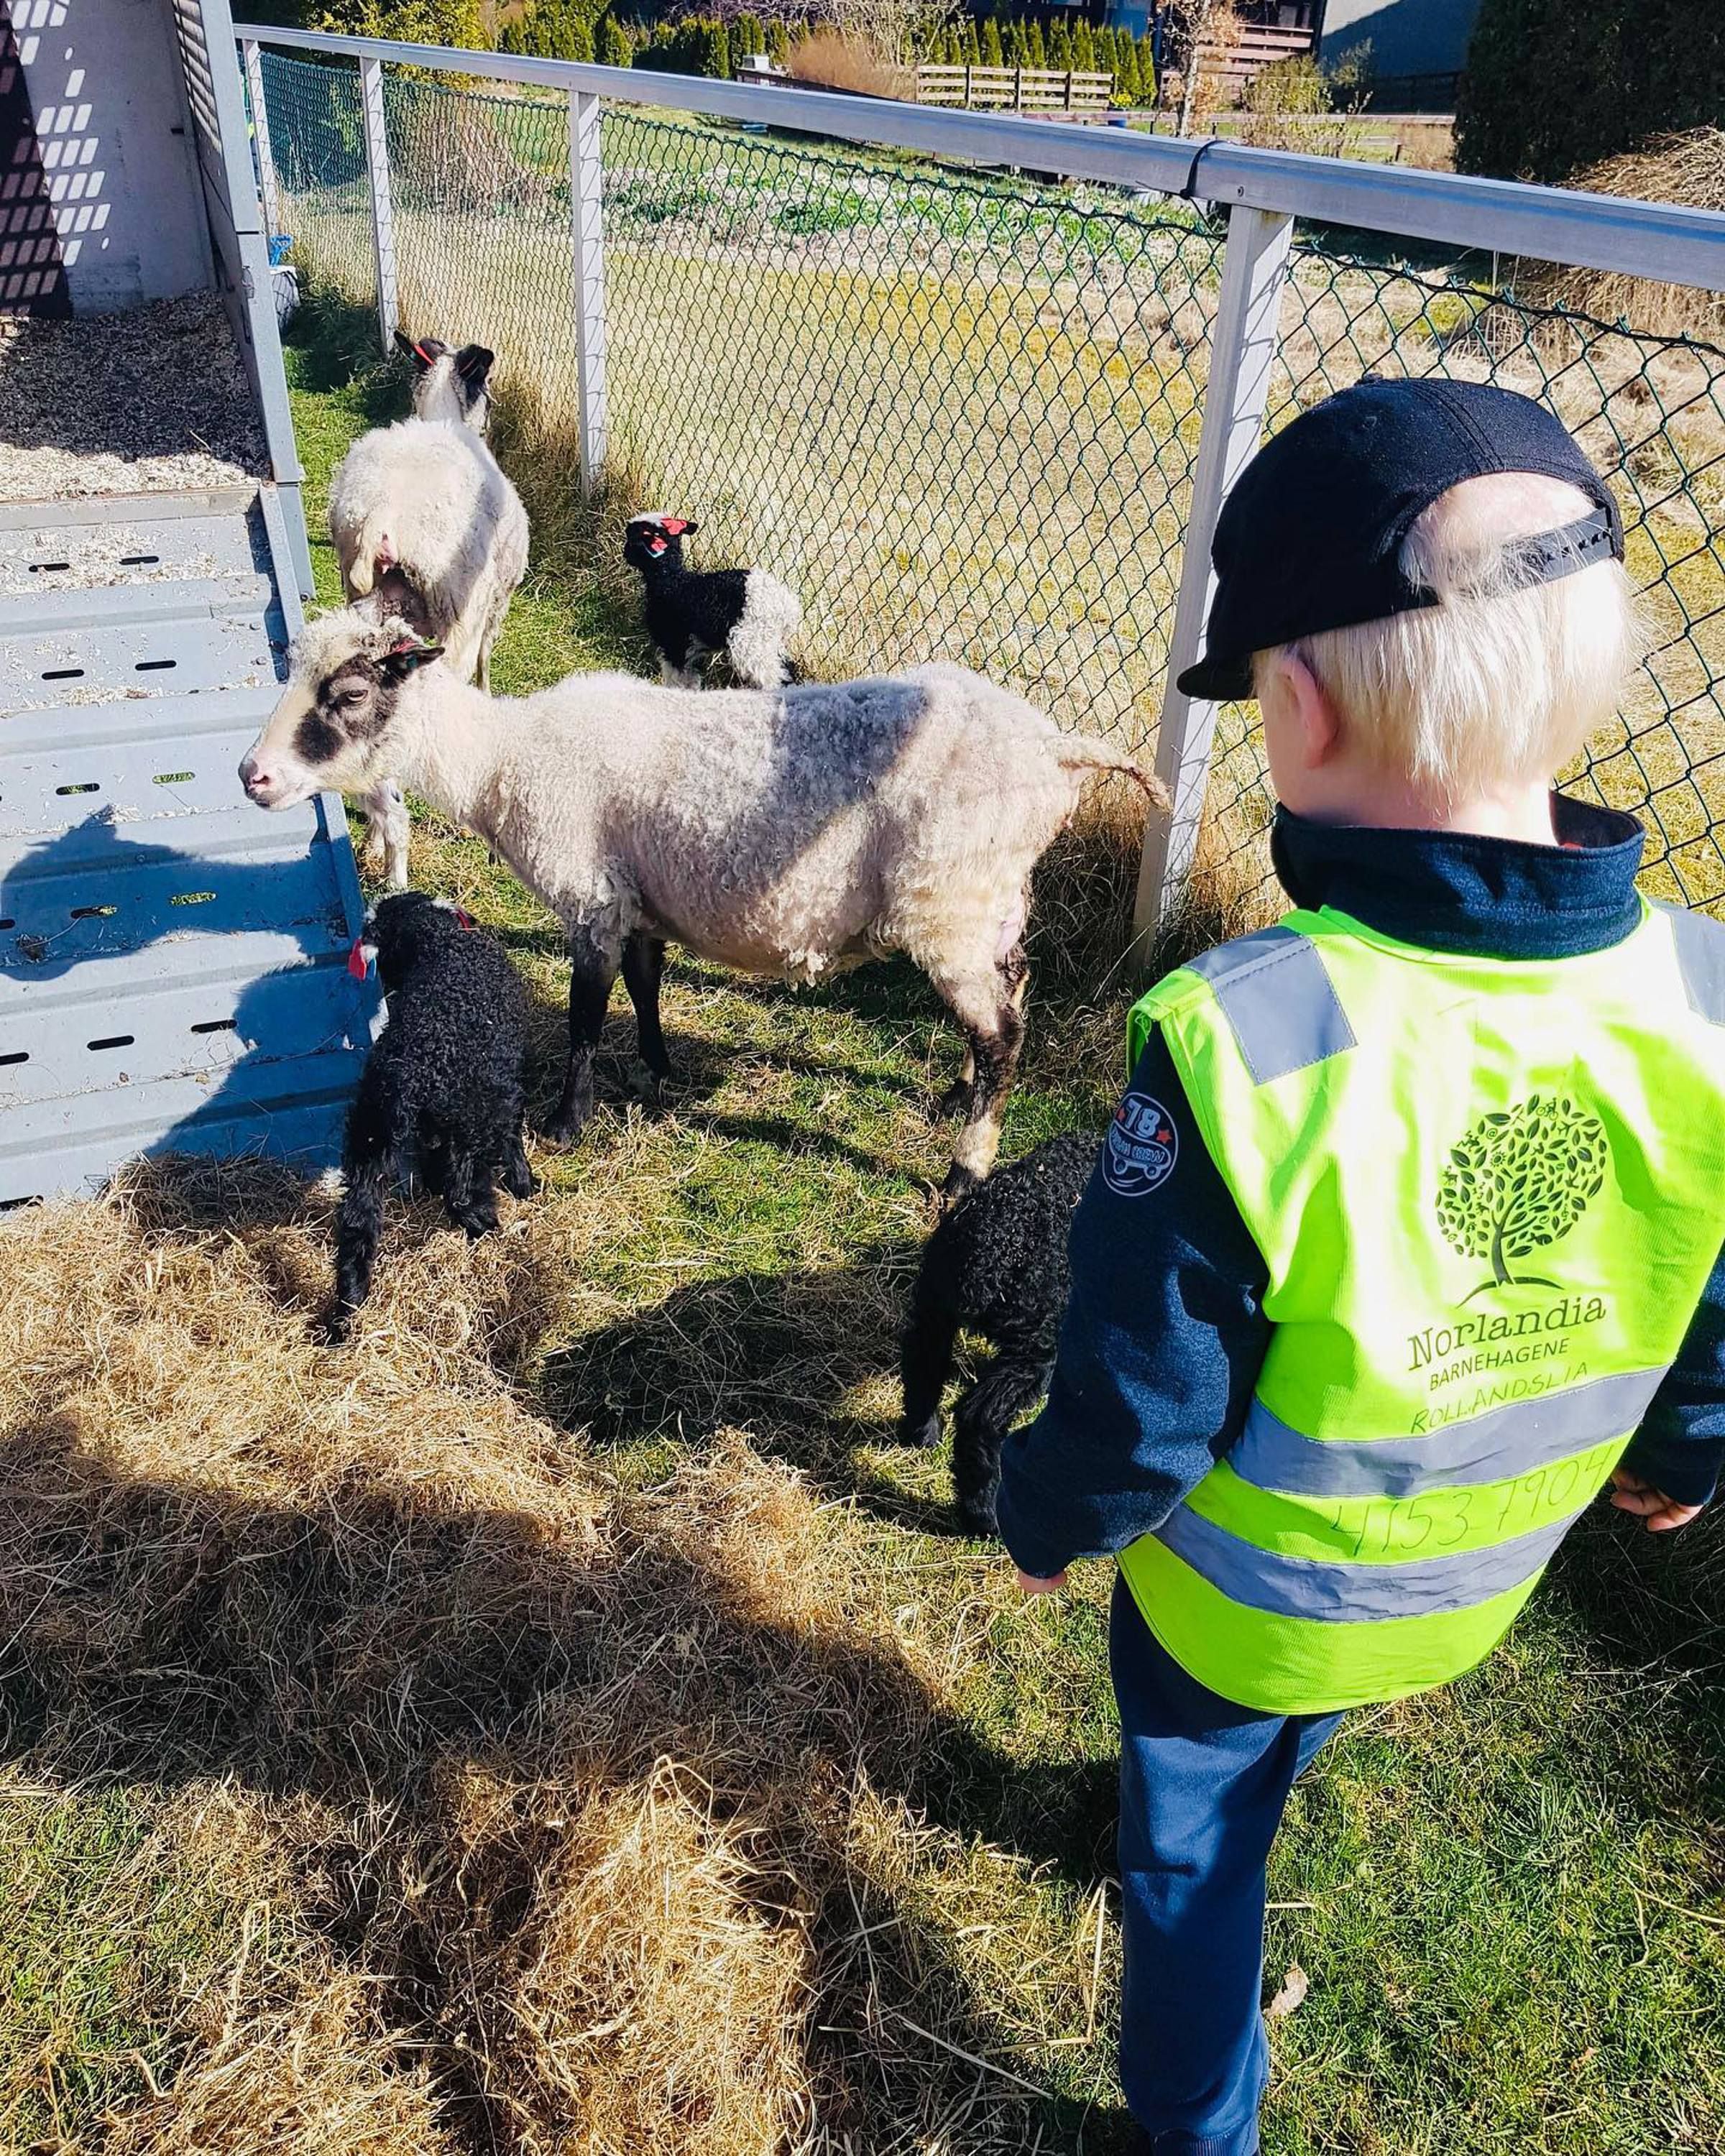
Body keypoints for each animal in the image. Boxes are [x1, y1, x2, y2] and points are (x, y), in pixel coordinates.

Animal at [236, 612, 1164, 1199]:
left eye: (349, 696)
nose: (253, 777)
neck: (503, 760)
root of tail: (1056, 748)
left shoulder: (589, 894)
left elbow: (583, 1016)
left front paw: (567, 1123)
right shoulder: (639, 897)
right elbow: (645, 985)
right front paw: (656, 1065)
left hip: (950, 896)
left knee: (1002, 1032)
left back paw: (967, 1167)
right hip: (990, 897)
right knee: (1011, 990)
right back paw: (959, 1092)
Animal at [326, 888, 533, 1328]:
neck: (436, 941)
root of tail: (410, 1074)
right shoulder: (504, 1097)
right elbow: (513, 1138)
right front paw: (524, 1183)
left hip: (370, 1138)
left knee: (357, 1222)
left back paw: (348, 1306)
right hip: (468, 1129)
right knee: (461, 1195)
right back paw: (487, 1226)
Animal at [328, 321, 528, 893]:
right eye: (487, 389)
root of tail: (381, 514)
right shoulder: (495, 601)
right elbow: (487, 659)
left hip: (362, 599)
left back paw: (377, 840)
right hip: (457, 605)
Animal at [625, 509, 806, 686]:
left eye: (633, 537)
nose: (625, 554)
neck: (671, 580)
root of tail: (787, 605)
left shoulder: (674, 643)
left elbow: (677, 680)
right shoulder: (692, 651)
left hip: (752, 641)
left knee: (774, 677)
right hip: (770, 642)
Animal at [897, 1130, 1100, 1535]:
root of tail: (983, 1262)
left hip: (934, 1300)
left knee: (922, 1362)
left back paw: (922, 1435)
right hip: (1035, 1340)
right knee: (981, 1417)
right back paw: (984, 1514)